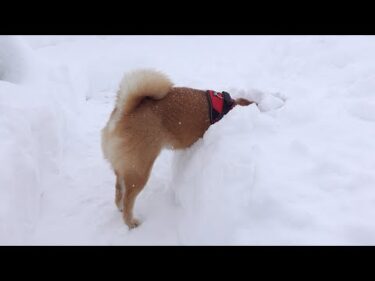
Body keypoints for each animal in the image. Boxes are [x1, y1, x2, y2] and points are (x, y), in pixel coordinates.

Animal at [101, 69, 254, 228]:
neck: (229, 107)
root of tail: (123, 112)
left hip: (126, 168)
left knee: (119, 189)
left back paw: (120, 207)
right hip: (140, 169)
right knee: (128, 198)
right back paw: (131, 222)